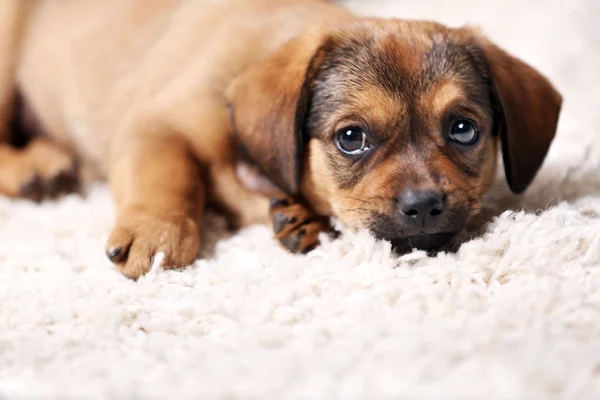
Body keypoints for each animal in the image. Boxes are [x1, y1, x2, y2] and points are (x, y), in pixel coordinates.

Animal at [0, 0, 564, 278]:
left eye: (463, 130)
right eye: (351, 138)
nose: (424, 205)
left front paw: (294, 215)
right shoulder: (156, 125)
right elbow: (169, 177)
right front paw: (157, 235)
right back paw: (33, 168)